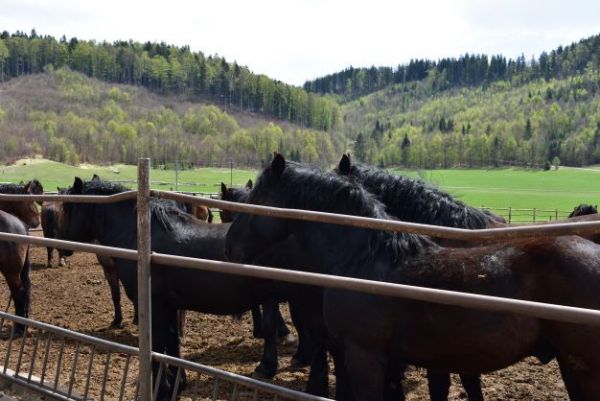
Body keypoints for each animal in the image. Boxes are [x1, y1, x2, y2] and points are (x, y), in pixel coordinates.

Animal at [59, 177, 284, 398]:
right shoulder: (170, 305)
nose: (61, 246)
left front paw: (160, 389)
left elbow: (158, 345)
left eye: (68, 207)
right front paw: (178, 383)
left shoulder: (154, 305)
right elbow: (173, 342)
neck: (140, 236)